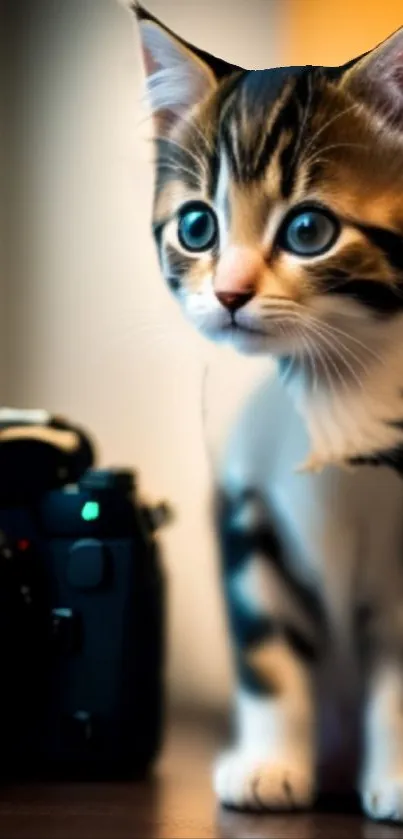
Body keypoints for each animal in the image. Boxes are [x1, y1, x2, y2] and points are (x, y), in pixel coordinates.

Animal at [129, 1, 403, 820]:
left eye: (308, 230)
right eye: (197, 227)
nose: (228, 293)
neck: (326, 382)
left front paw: (397, 777)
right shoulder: (241, 497)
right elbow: (266, 645)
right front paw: (268, 767)